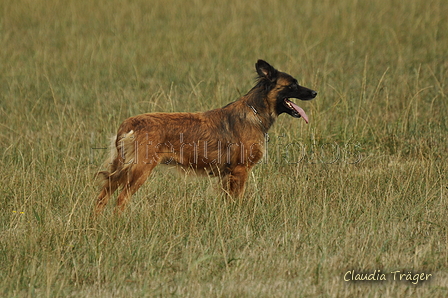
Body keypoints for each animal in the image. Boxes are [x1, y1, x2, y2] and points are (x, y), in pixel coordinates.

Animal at [95, 59, 316, 213]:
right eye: (293, 85)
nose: (314, 92)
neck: (254, 112)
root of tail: (129, 123)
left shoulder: (227, 175)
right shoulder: (240, 171)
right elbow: (237, 201)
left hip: (121, 169)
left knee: (101, 197)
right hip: (139, 171)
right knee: (121, 199)